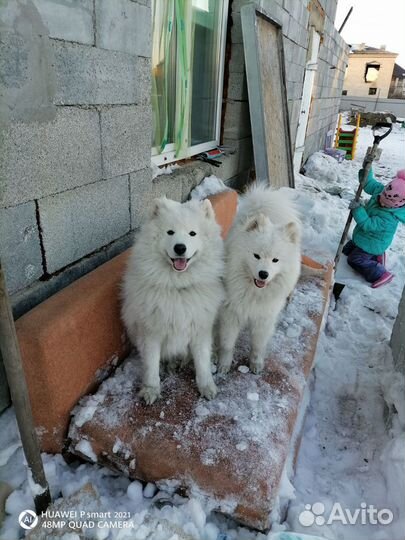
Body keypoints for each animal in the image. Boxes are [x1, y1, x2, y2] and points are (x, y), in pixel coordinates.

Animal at [121, 196, 226, 402]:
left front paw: (207, 386)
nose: (180, 248)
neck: (178, 288)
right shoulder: (151, 331)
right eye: (170, 232)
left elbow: (202, 361)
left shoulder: (200, 328)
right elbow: (151, 364)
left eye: (192, 233)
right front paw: (151, 389)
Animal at [218, 186, 300, 376]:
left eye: (275, 260)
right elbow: (227, 344)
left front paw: (256, 364)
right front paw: (224, 365)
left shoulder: (264, 318)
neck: (254, 292)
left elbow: (258, 345)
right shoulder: (231, 313)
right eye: (256, 256)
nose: (263, 274)